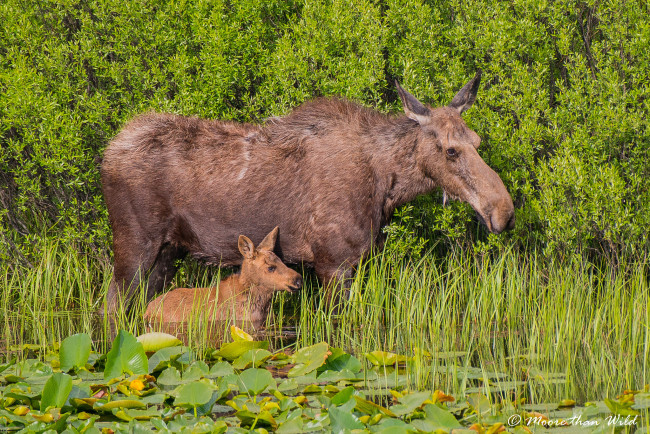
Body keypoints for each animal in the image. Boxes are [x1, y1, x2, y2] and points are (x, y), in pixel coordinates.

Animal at [101, 72, 512, 316]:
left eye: (477, 141)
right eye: (451, 151)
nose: (504, 211)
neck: (387, 187)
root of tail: (108, 151)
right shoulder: (333, 263)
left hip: (168, 251)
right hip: (134, 243)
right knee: (110, 307)